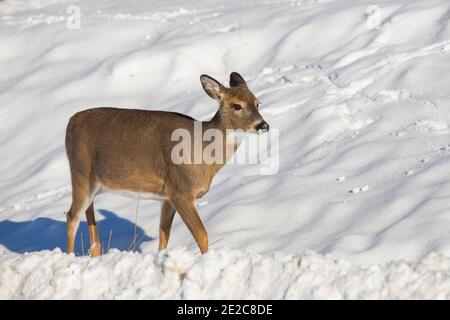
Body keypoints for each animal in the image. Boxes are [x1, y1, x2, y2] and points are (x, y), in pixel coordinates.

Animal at [65, 71, 268, 256]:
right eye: (237, 105)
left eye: (257, 103)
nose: (263, 125)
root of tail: (70, 122)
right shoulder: (181, 191)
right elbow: (202, 235)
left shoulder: (168, 196)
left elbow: (164, 235)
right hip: (80, 172)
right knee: (71, 217)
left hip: (93, 183)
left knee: (88, 219)